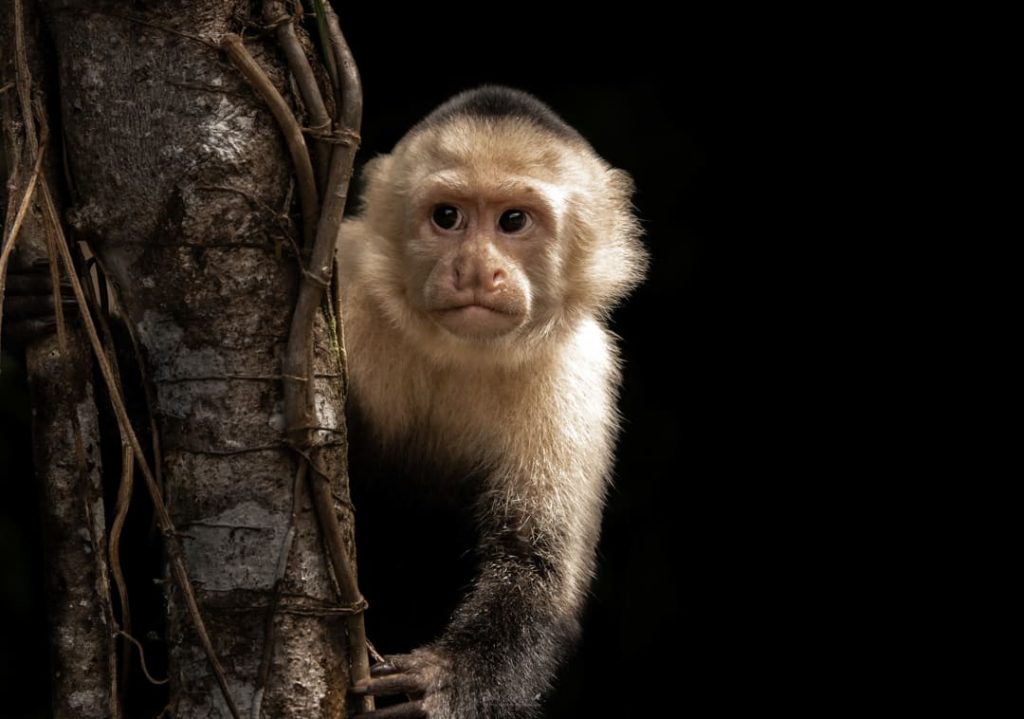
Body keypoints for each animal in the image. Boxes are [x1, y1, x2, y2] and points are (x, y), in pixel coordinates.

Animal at [339, 86, 647, 719]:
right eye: (446, 217)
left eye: (513, 221)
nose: (476, 270)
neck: (454, 352)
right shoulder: (346, 279)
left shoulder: (580, 373)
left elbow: (537, 568)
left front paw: (444, 682)